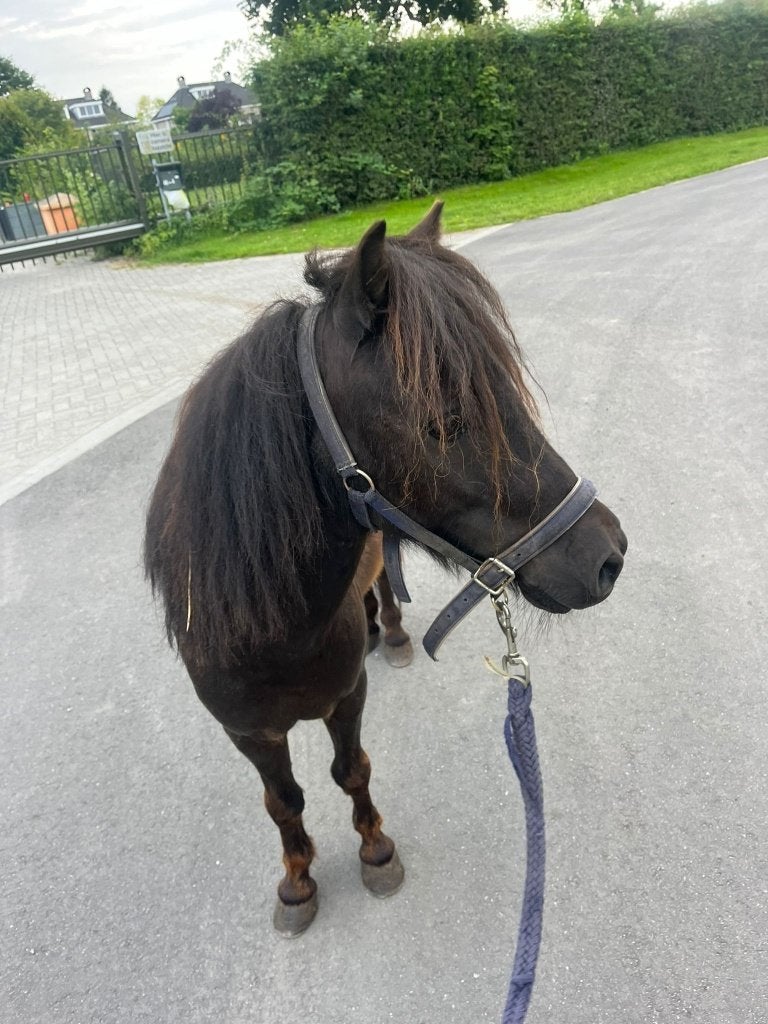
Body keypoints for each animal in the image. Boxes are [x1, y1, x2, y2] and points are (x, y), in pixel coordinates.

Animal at [144, 202, 627, 937]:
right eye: (443, 422)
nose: (608, 555)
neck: (278, 631)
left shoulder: (346, 699)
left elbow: (351, 770)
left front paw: (375, 851)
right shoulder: (247, 731)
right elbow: (284, 802)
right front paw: (298, 883)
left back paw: (391, 634)